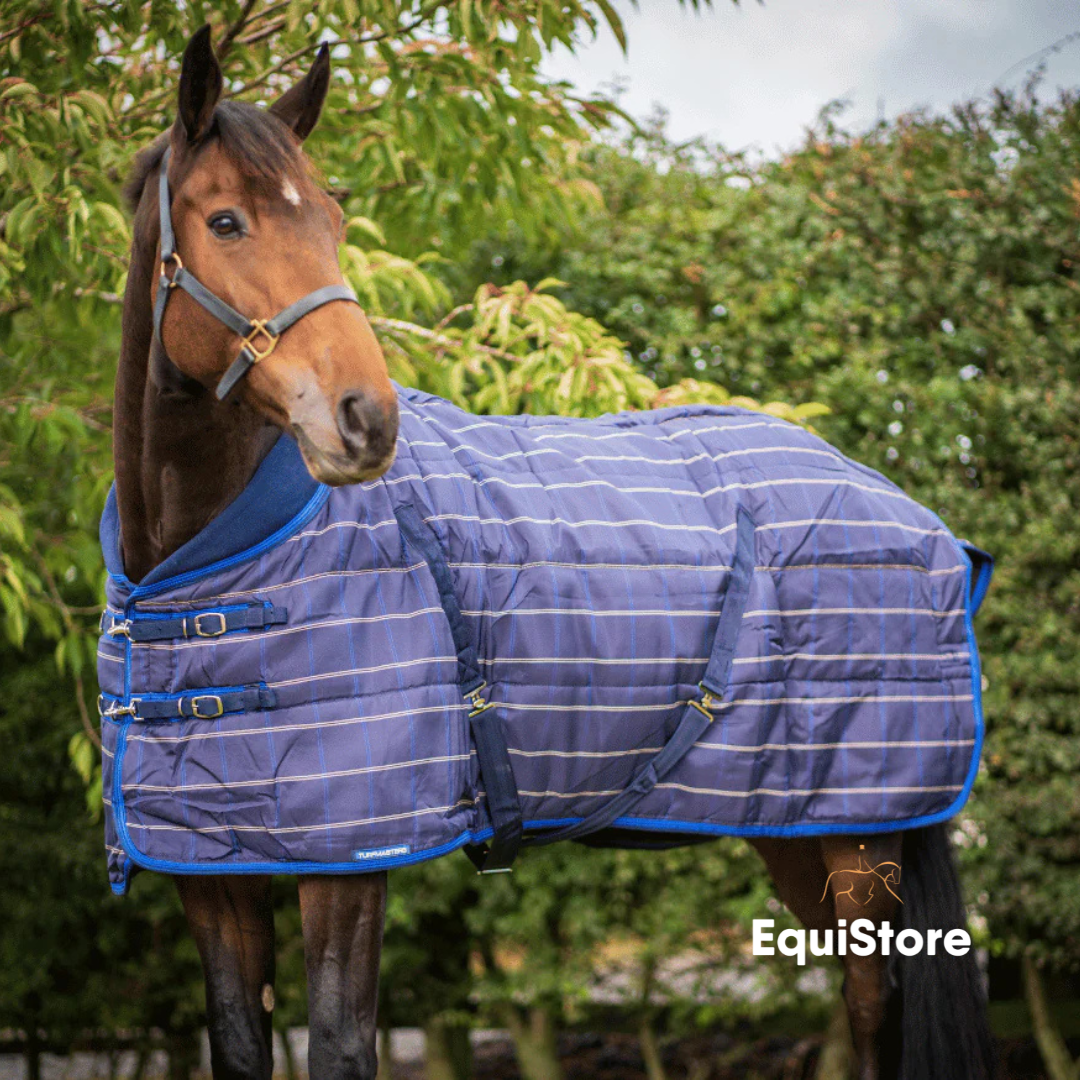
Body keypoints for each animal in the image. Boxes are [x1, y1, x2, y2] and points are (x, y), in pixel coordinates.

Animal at [105, 25, 993, 1080]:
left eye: (331, 217)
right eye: (227, 220)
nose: (367, 420)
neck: (209, 571)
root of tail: (906, 508)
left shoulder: (352, 866)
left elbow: (342, 1047)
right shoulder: (213, 873)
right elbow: (240, 1045)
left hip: (868, 839)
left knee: (873, 1006)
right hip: (798, 823)